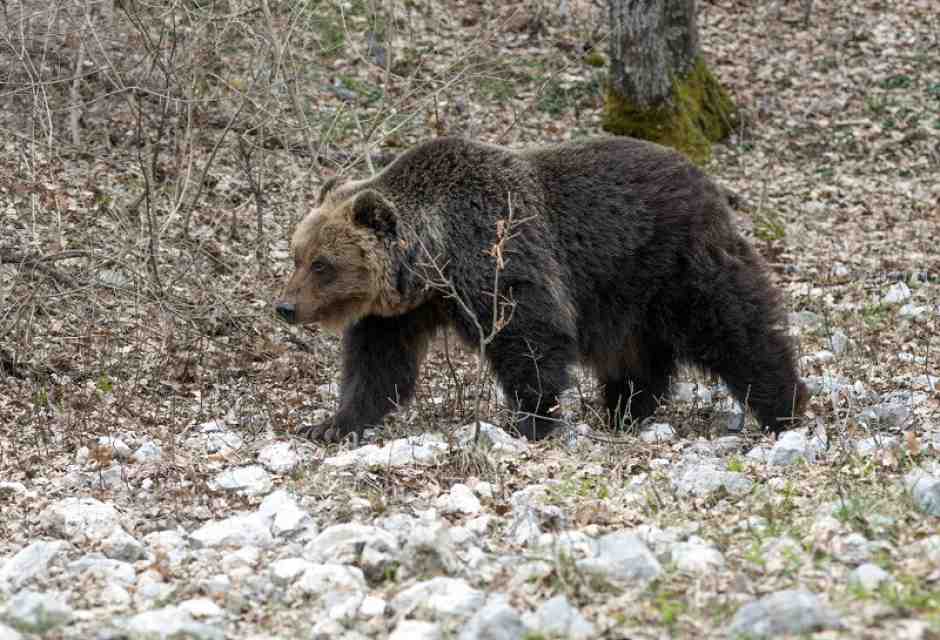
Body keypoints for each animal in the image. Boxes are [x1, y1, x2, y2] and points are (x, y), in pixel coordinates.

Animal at [275, 136, 807, 442]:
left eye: (323, 264)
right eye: (297, 255)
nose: (285, 306)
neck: (435, 259)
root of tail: (705, 178)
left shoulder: (499, 255)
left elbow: (530, 335)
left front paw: (530, 420)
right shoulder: (402, 310)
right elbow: (378, 365)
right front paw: (330, 424)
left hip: (675, 261)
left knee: (734, 326)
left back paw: (784, 405)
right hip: (625, 293)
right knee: (635, 355)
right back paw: (624, 412)